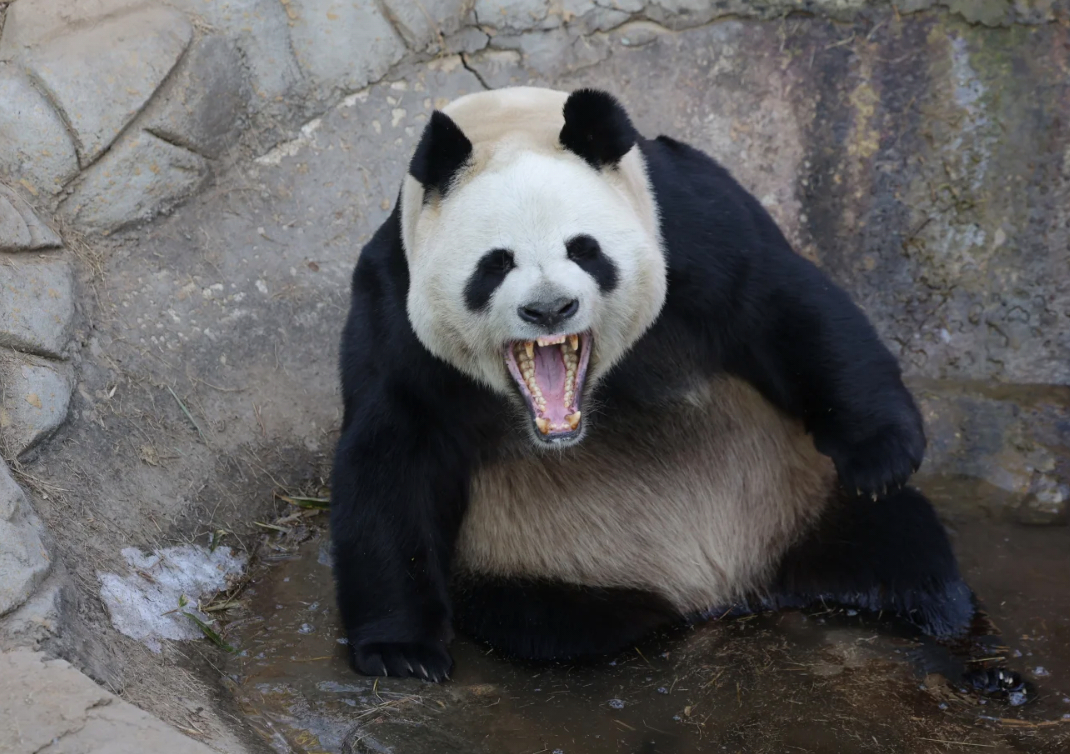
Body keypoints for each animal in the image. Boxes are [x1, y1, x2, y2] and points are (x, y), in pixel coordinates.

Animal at [333, 85, 980, 680]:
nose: (550, 309)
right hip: (540, 556)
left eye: (584, 250)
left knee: (900, 546)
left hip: (802, 496)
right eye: (496, 263)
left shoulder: (685, 221)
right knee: (556, 624)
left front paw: (881, 457)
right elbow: (394, 451)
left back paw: (949, 631)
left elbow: (786, 306)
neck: (508, 121)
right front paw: (402, 651)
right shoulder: (393, 302)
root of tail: (729, 587)